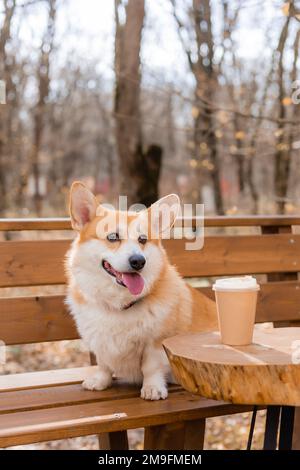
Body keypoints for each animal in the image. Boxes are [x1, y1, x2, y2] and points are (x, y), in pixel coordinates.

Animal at [65, 183, 217, 400]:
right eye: (113, 237)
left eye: (143, 240)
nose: (138, 261)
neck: (120, 305)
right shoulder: (100, 342)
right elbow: (103, 364)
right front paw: (100, 381)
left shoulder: (156, 342)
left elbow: (151, 367)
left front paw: (152, 388)